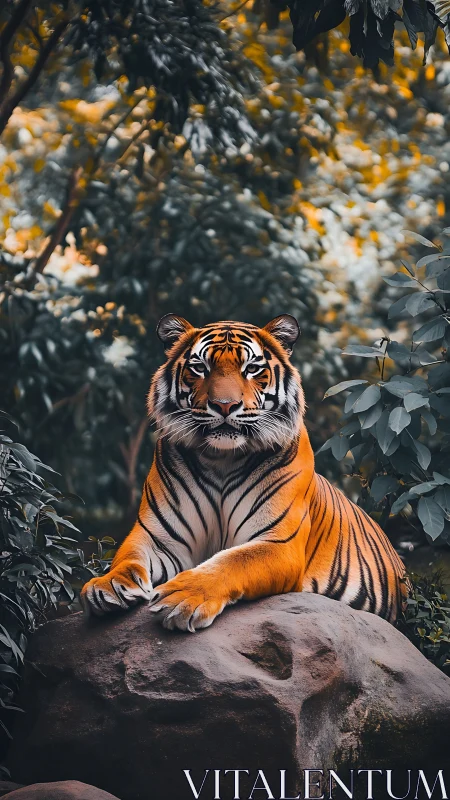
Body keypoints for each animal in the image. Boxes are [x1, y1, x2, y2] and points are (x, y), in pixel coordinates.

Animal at [81, 313, 408, 631]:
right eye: (200, 367)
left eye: (251, 368)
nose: (224, 405)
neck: (221, 458)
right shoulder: (159, 538)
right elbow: (128, 556)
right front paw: (108, 584)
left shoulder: (277, 543)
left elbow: (232, 561)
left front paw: (183, 596)